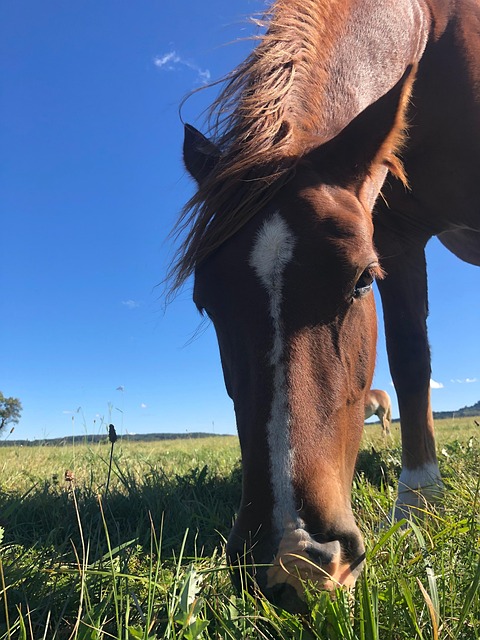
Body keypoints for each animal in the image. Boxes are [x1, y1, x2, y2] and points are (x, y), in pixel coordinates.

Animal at [171, 0, 480, 612]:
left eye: (361, 280)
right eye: (204, 303)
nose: (293, 557)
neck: (433, 34)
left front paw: (419, 502)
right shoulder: (397, 237)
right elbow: (411, 361)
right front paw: (419, 505)